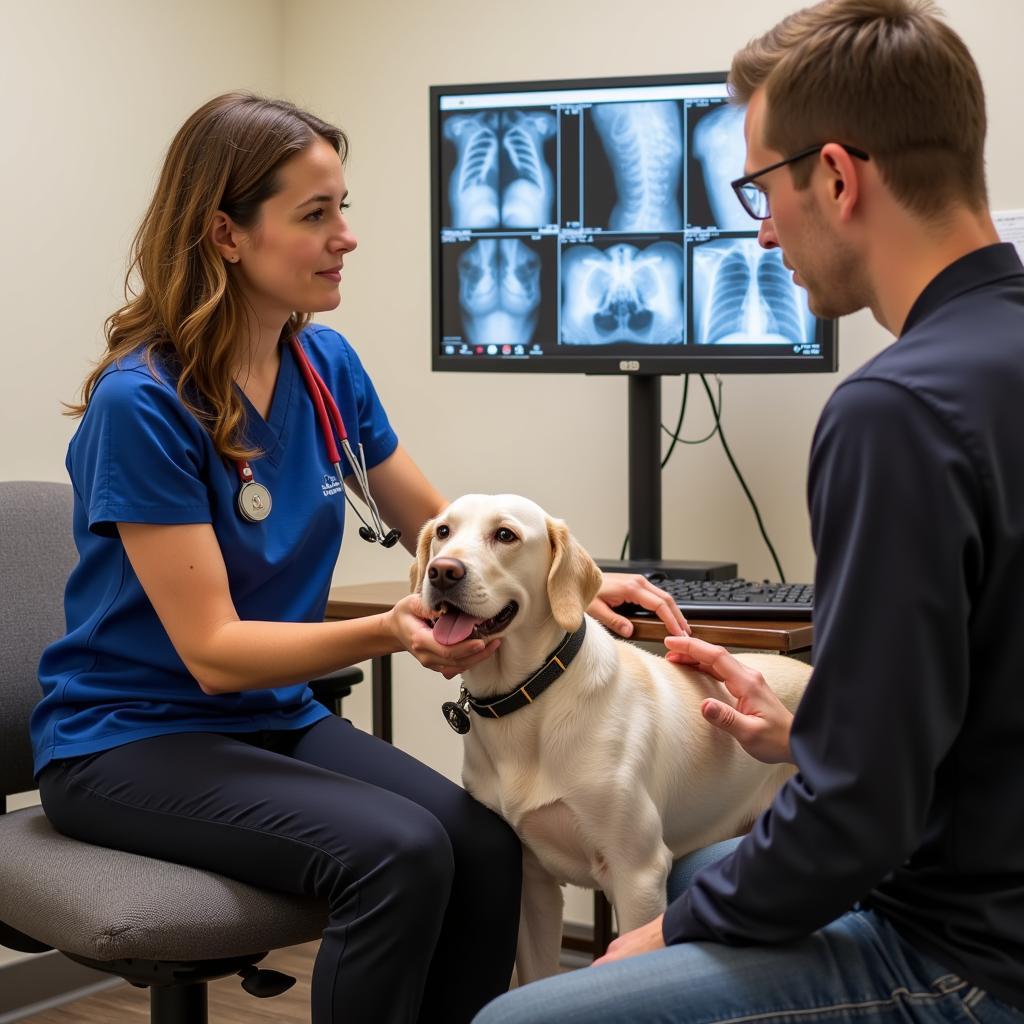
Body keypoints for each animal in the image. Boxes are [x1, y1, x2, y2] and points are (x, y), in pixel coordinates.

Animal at [407, 495, 806, 983]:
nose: (442, 571)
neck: (529, 698)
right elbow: (537, 972)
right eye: (443, 532)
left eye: (505, 535)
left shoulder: (639, 874)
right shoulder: (533, 880)